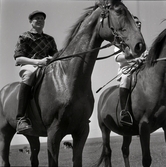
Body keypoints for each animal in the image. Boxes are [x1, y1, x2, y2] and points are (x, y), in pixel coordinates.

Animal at [0, 0, 145, 166]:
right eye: (119, 12)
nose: (140, 45)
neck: (67, 78)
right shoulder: (54, 133)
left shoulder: (81, 131)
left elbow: (77, 160)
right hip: (5, 133)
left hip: (32, 135)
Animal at [96, 28, 166, 167]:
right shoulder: (144, 126)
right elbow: (146, 159)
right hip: (104, 129)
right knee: (107, 152)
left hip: (125, 131)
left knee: (124, 150)